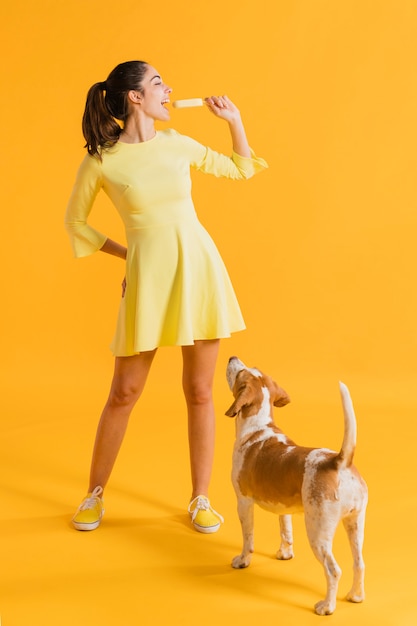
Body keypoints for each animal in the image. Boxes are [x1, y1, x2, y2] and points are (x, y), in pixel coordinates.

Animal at [224, 356, 368, 616]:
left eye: (240, 372)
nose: (232, 358)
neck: (258, 427)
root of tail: (339, 461)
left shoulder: (243, 502)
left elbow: (248, 539)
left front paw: (243, 560)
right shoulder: (285, 508)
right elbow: (286, 531)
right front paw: (285, 554)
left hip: (318, 533)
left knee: (334, 570)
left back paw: (327, 606)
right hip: (355, 524)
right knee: (359, 562)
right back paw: (356, 596)